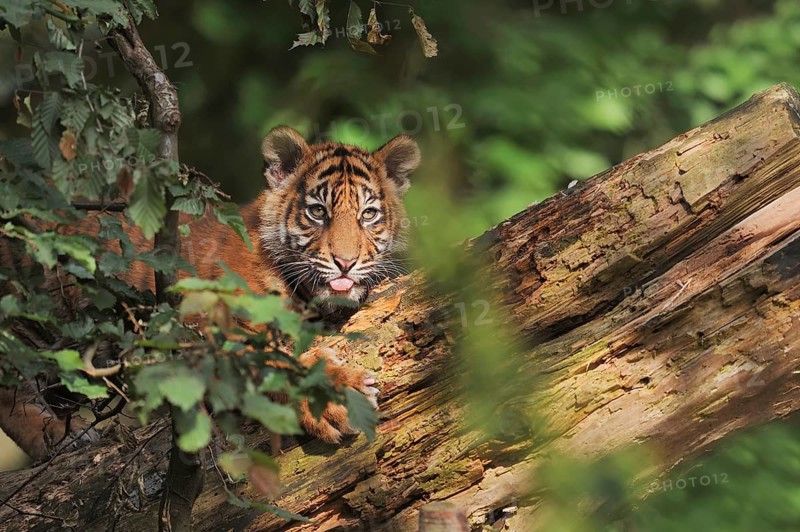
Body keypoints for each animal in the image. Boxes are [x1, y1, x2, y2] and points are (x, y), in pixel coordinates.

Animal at [0, 126, 421, 461]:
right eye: (317, 212)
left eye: (368, 214)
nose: (345, 263)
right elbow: (268, 361)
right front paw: (333, 397)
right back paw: (60, 437)